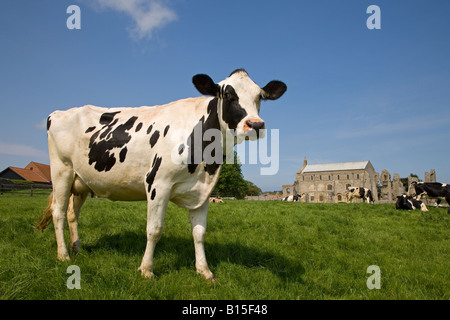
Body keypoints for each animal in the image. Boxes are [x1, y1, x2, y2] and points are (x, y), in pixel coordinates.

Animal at [37, 68, 286, 280]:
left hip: (81, 181)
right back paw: (63, 255)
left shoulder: (203, 192)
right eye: (228, 94)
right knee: (58, 212)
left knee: (73, 214)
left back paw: (77, 248)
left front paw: (204, 271)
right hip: (61, 171)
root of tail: (58, 112)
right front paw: (146, 270)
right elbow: (154, 230)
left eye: (260, 96)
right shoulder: (158, 183)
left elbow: (199, 233)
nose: (255, 124)